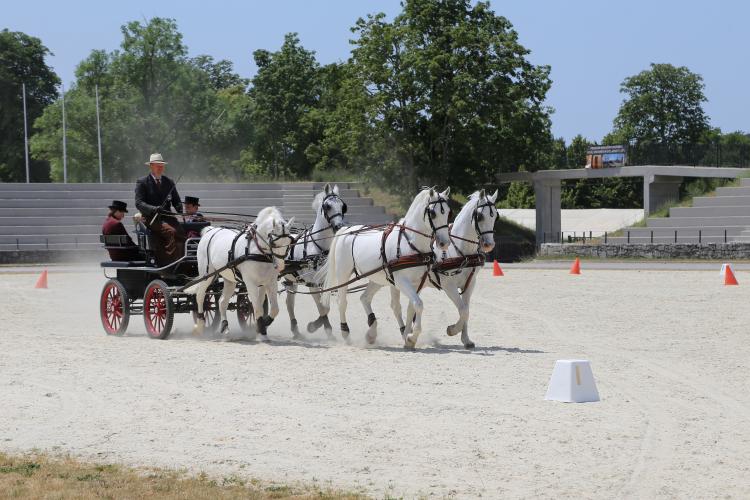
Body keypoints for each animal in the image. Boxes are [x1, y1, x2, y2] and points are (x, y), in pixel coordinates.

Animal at [187, 206, 296, 340]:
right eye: (274, 243)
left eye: (289, 242)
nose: (280, 266)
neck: (258, 251)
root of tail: (211, 231)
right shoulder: (250, 283)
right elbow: (258, 308)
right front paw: (262, 332)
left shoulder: (270, 282)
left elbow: (274, 309)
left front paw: (263, 325)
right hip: (206, 274)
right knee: (200, 296)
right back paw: (200, 325)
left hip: (229, 279)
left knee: (222, 302)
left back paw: (225, 327)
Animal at [284, 182, 350, 338]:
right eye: (327, 206)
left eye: (343, 206)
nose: (339, 226)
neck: (319, 247)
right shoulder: (312, 283)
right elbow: (322, 308)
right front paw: (318, 327)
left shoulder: (324, 282)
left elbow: (325, 306)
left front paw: (319, 327)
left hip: (291, 280)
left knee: (289, 303)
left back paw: (295, 330)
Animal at [318, 188, 450, 348]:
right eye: (433, 213)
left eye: (448, 212)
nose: (444, 243)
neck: (410, 242)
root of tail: (346, 229)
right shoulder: (401, 281)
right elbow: (418, 304)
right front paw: (412, 336)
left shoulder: (417, 282)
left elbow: (411, 307)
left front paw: (407, 336)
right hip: (343, 274)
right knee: (342, 302)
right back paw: (346, 333)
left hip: (378, 279)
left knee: (365, 298)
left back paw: (372, 332)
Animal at [388, 189, 500, 350]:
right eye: (480, 216)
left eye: (496, 216)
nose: (489, 245)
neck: (461, 249)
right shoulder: (449, 286)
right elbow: (463, 311)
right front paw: (452, 329)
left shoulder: (470, 284)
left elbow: (466, 310)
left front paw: (466, 340)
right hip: (396, 283)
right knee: (396, 306)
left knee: (411, 307)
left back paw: (408, 336)